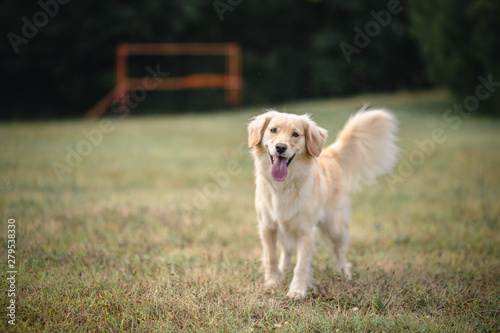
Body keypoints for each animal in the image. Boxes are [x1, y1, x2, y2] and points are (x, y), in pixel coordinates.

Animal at [246, 107, 398, 298]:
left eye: (295, 134)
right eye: (273, 130)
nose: (280, 147)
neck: (284, 185)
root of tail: (329, 152)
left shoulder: (307, 231)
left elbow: (301, 265)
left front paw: (297, 291)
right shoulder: (267, 227)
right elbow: (270, 257)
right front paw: (273, 282)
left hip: (334, 225)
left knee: (340, 249)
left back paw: (344, 273)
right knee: (286, 251)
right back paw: (283, 270)